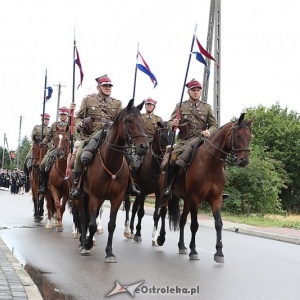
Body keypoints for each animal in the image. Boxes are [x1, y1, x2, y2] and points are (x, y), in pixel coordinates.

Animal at [155, 112, 253, 262]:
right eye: (238, 135)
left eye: (250, 137)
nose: (244, 160)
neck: (211, 165)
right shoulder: (195, 199)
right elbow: (195, 225)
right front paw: (194, 251)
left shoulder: (216, 199)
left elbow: (218, 224)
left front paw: (219, 252)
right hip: (165, 193)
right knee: (163, 212)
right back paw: (160, 238)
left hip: (187, 200)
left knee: (182, 220)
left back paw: (182, 246)